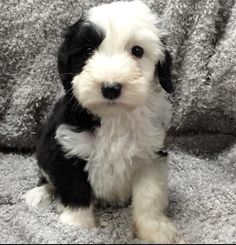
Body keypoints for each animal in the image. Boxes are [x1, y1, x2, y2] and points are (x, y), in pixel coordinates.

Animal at [24, 0, 177, 243]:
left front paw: (155, 230)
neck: (114, 118)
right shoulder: (67, 149)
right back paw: (38, 194)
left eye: (137, 51)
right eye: (87, 51)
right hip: (45, 153)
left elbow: (149, 196)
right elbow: (75, 190)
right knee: (48, 178)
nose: (111, 88)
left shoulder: (150, 155)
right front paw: (77, 226)